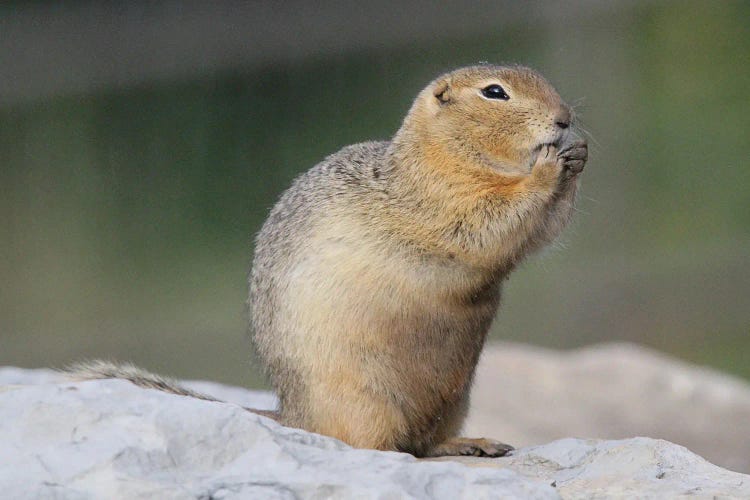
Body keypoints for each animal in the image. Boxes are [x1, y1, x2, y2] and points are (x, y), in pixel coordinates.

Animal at [70, 64, 588, 458]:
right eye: (494, 92)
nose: (564, 119)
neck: (441, 153)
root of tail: (294, 415)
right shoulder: (444, 200)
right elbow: (493, 221)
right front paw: (548, 165)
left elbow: (541, 231)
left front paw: (578, 155)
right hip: (367, 402)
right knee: (383, 446)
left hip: (455, 402)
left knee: (424, 444)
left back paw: (472, 443)